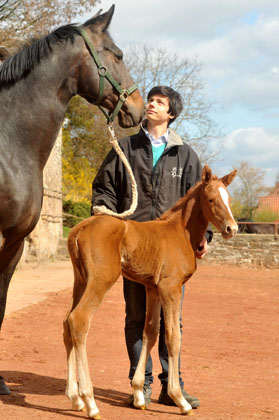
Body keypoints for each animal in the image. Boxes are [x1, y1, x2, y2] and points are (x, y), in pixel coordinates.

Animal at [63, 166, 238, 418]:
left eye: (229, 199)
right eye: (211, 199)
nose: (231, 229)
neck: (180, 232)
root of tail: (80, 228)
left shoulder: (152, 289)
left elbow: (151, 332)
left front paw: (138, 394)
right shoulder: (170, 287)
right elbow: (173, 337)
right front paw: (179, 400)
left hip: (81, 280)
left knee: (66, 323)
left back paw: (75, 397)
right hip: (101, 279)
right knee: (79, 320)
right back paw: (90, 402)